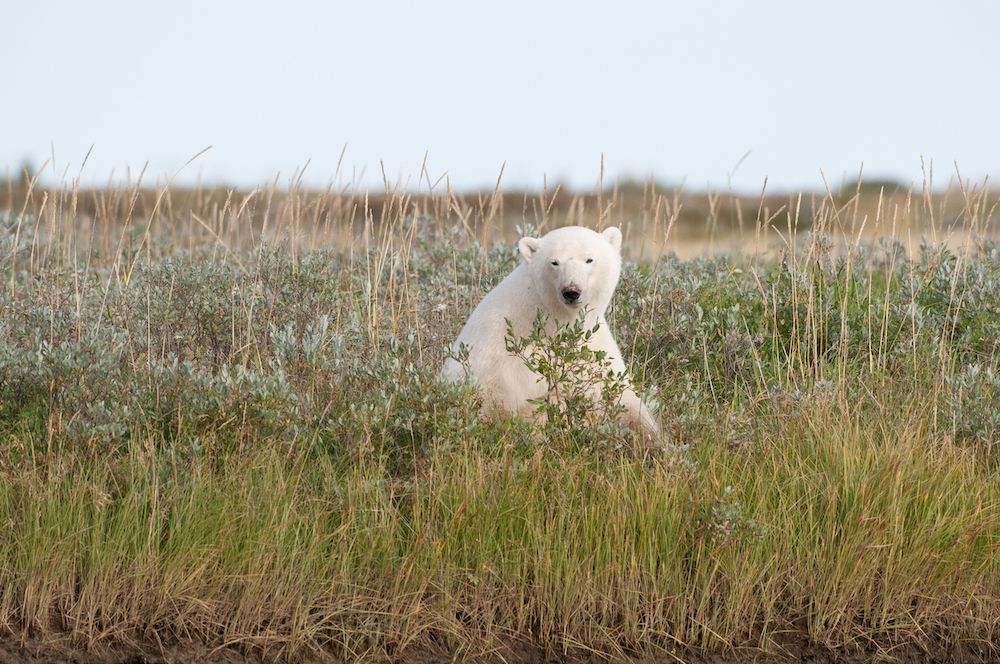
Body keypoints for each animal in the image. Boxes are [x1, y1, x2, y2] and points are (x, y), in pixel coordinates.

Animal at [441, 225, 661, 446]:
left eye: (589, 259)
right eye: (554, 262)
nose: (571, 291)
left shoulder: (596, 351)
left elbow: (625, 401)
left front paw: (652, 441)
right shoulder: (501, 356)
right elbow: (507, 406)